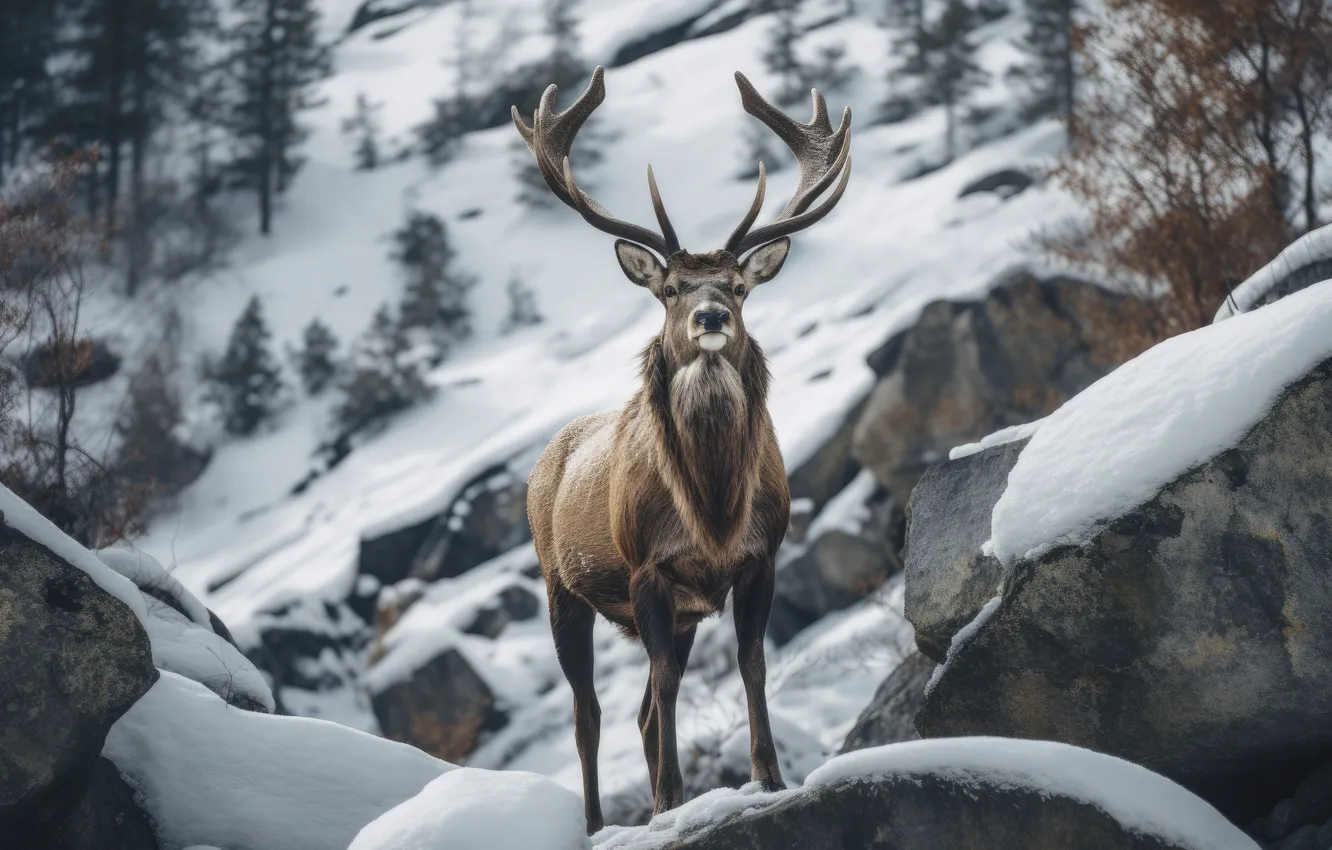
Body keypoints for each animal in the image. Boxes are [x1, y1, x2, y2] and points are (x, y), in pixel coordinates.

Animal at [515, 66, 851, 834]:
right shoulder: (648, 568)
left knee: (638, 710)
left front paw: (769, 777)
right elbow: (667, 687)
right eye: (669, 288)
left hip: (684, 610)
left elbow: (752, 663)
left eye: (738, 285)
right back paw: (599, 825)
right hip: (559, 587)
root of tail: (545, 461)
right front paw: (670, 802)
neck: (714, 508)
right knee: (590, 713)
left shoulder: (757, 559)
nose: (710, 316)